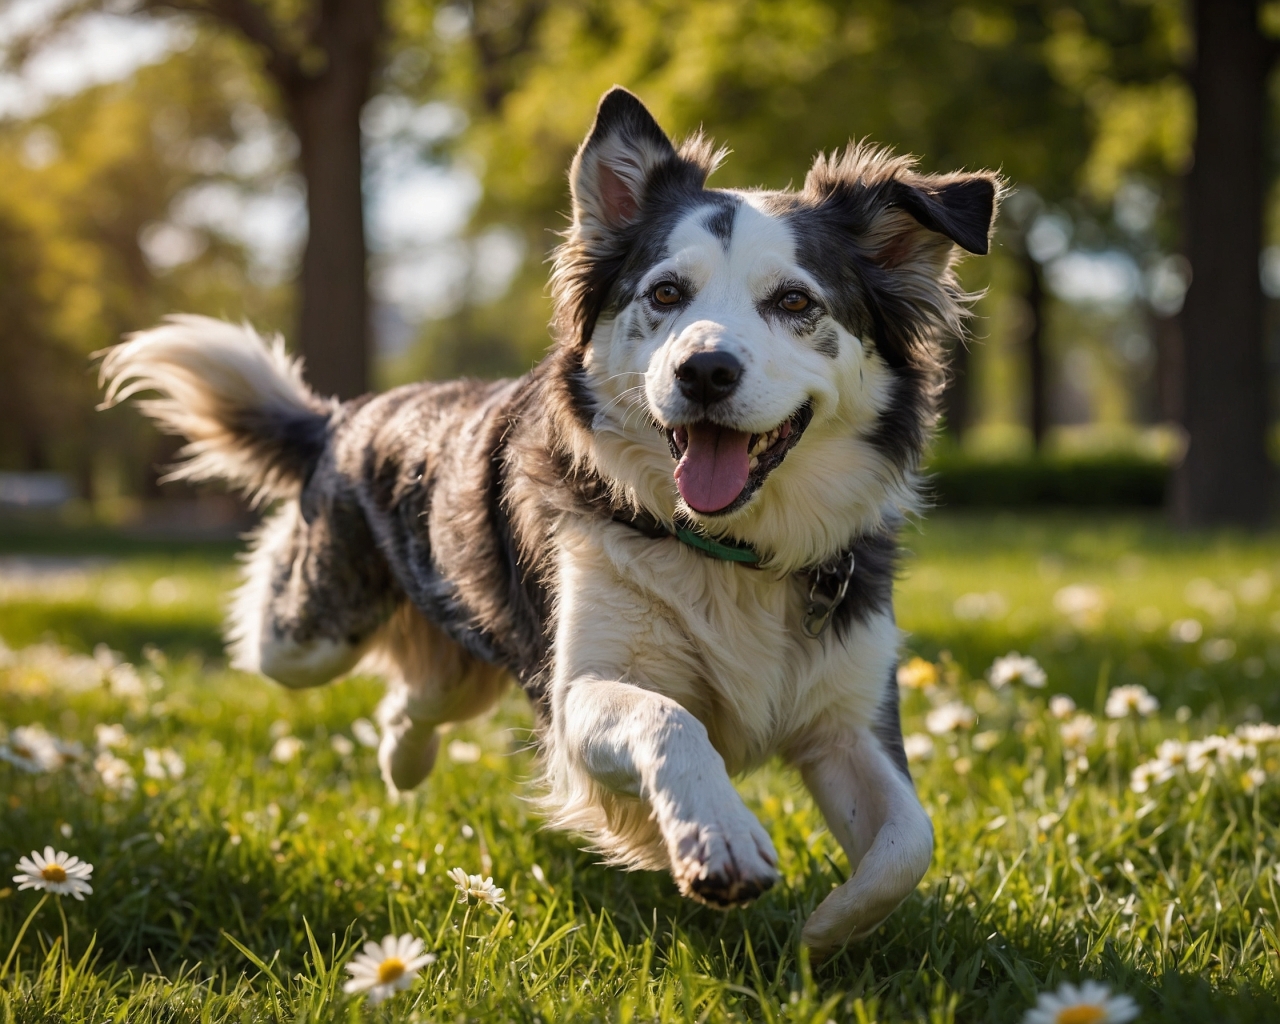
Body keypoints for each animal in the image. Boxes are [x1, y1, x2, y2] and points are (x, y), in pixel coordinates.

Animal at [99, 85, 998, 952]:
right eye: (665, 293)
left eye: (793, 301)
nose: (703, 371)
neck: (731, 547)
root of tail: (345, 417)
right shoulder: (575, 696)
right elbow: (672, 719)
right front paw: (717, 838)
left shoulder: (852, 715)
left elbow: (911, 843)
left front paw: (826, 932)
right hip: (308, 638)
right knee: (285, 635)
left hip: (458, 664)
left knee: (419, 698)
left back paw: (402, 758)